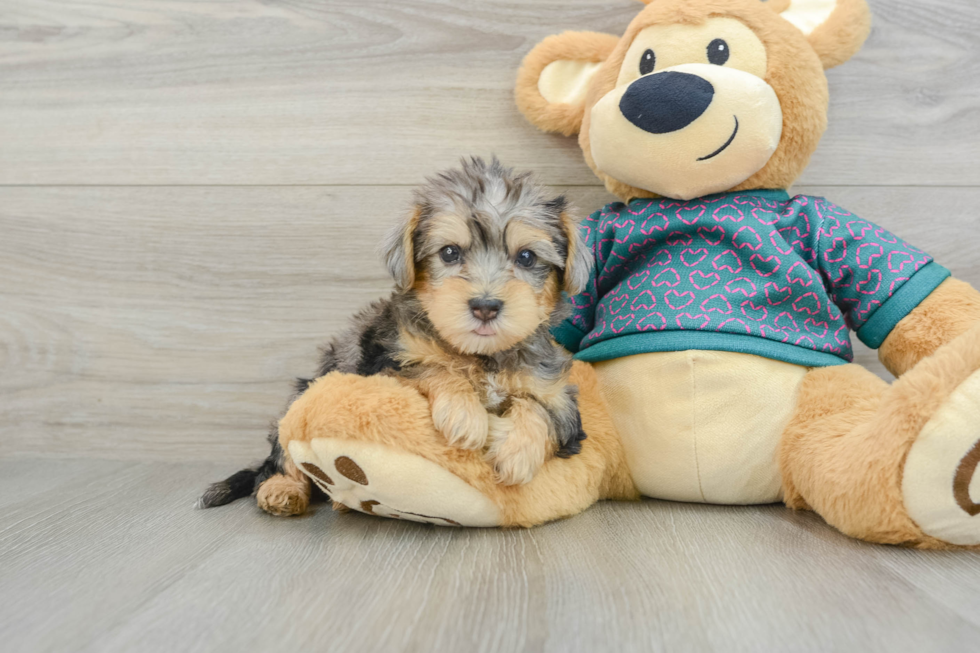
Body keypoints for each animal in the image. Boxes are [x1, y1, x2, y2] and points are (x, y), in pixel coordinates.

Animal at [201, 157, 588, 516]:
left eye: (526, 257)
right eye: (450, 252)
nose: (485, 306)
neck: (480, 354)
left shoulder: (558, 397)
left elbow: (542, 411)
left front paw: (517, 451)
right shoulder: (384, 364)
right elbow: (431, 367)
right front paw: (465, 415)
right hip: (302, 394)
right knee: (279, 460)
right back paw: (282, 490)